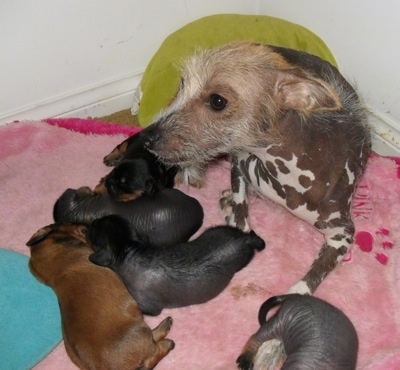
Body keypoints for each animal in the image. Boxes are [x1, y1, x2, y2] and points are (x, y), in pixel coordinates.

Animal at [86, 214, 266, 316]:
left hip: (243, 259)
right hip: (217, 230)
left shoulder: (148, 305)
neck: (129, 248)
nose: (92, 222)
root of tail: (244, 239)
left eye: (95, 226)